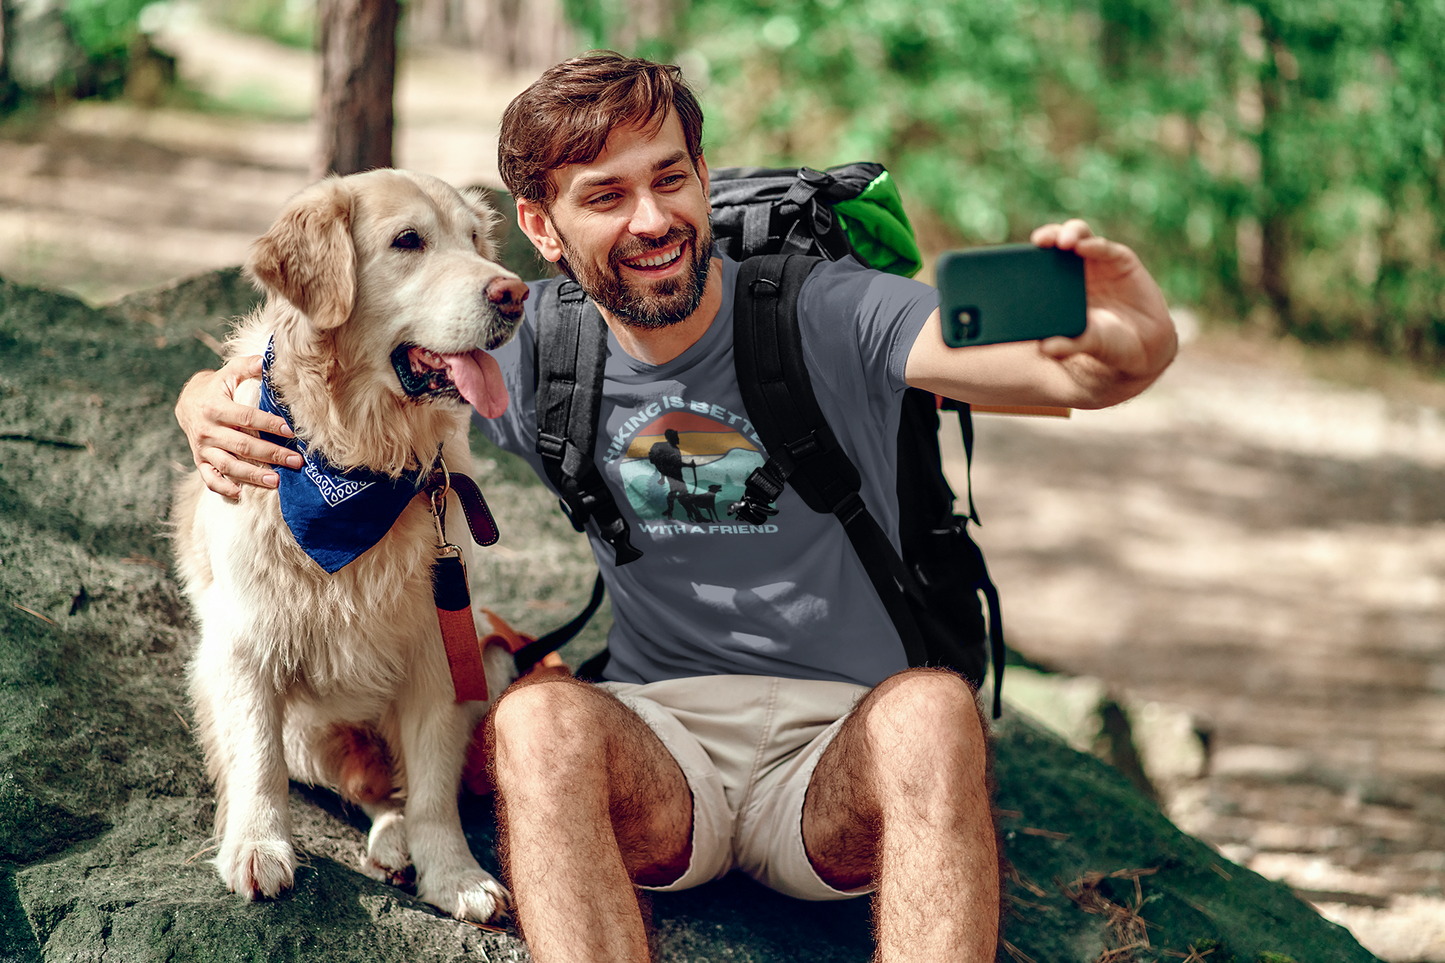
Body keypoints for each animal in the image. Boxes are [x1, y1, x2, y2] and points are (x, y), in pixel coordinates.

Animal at [171, 168, 528, 919]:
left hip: (490, 653)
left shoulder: (439, 650)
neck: (360, 460)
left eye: (474, 239)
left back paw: (398, 843)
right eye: (408, 241)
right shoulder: (243, 643)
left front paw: (453, 874)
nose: (514, 292)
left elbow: (432, 789)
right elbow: (256, 760)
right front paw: (256, 846)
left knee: (395, 788)